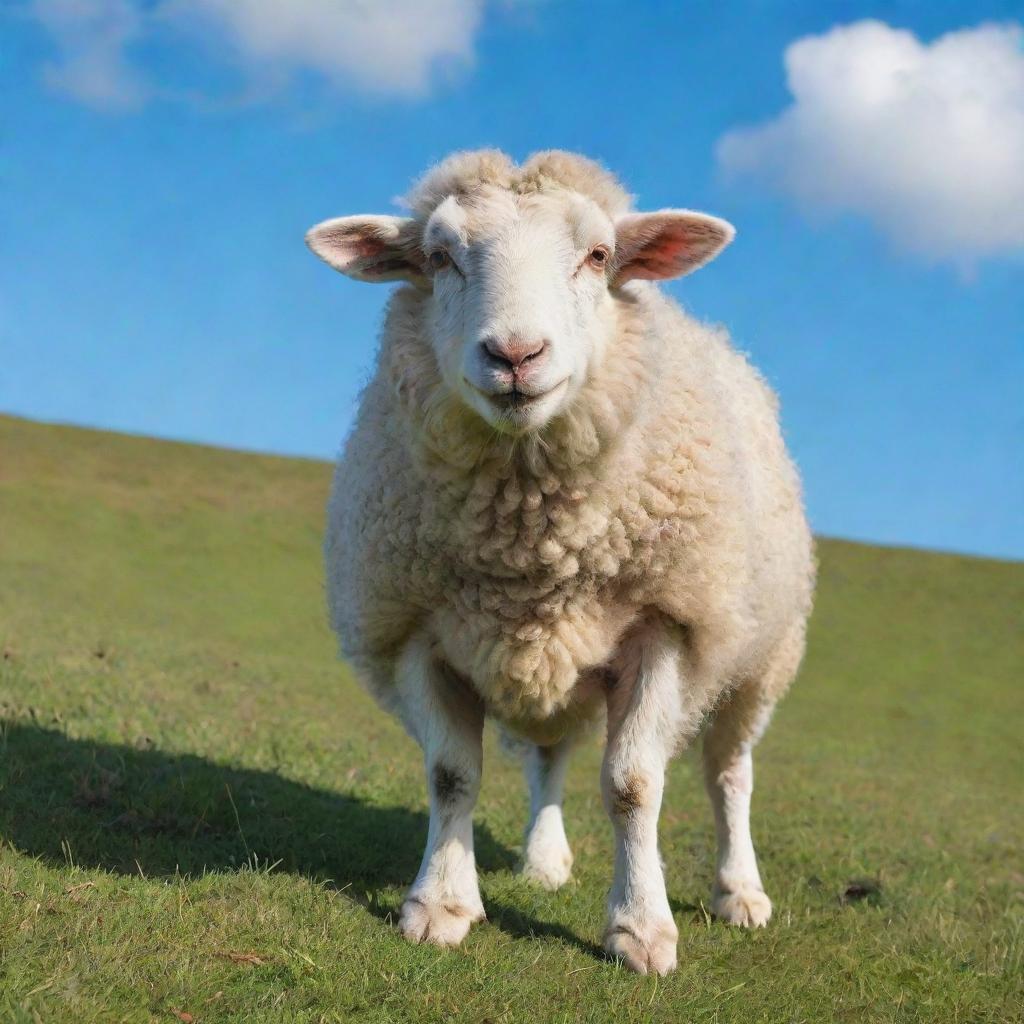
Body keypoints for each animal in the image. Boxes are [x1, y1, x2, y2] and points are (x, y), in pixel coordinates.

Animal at [307, 151, 811, 974]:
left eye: (599, 256)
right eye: (439, 258)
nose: (515, 356)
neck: (531, 542)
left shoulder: (668, 625)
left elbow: (634, 785)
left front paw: (640, 928)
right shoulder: (416, 628)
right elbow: (452, 775)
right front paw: (441, 903)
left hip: (759, 659)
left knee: (729, 774)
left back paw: (740, 892)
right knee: (549, 756)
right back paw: (544, 862)